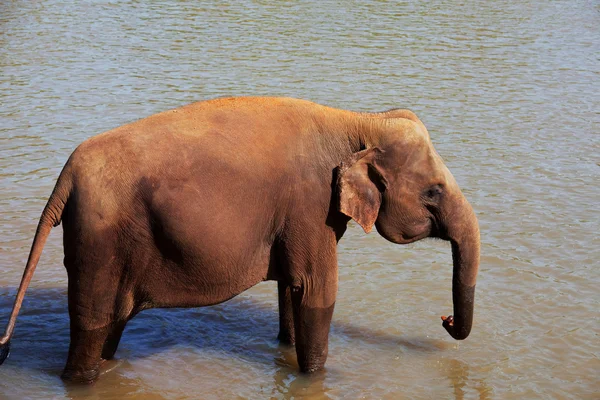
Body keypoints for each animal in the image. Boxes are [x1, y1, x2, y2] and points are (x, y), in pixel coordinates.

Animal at [0, 96, 480, 382]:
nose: (444, 319)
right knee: (92, 328)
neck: (359, 121)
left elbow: (292, 290)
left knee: (109, 330)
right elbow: (317, 293)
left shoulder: (297, 220)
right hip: (99, 243)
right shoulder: (309, 205)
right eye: (434, 192)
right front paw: (317, 378)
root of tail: (64, 178)